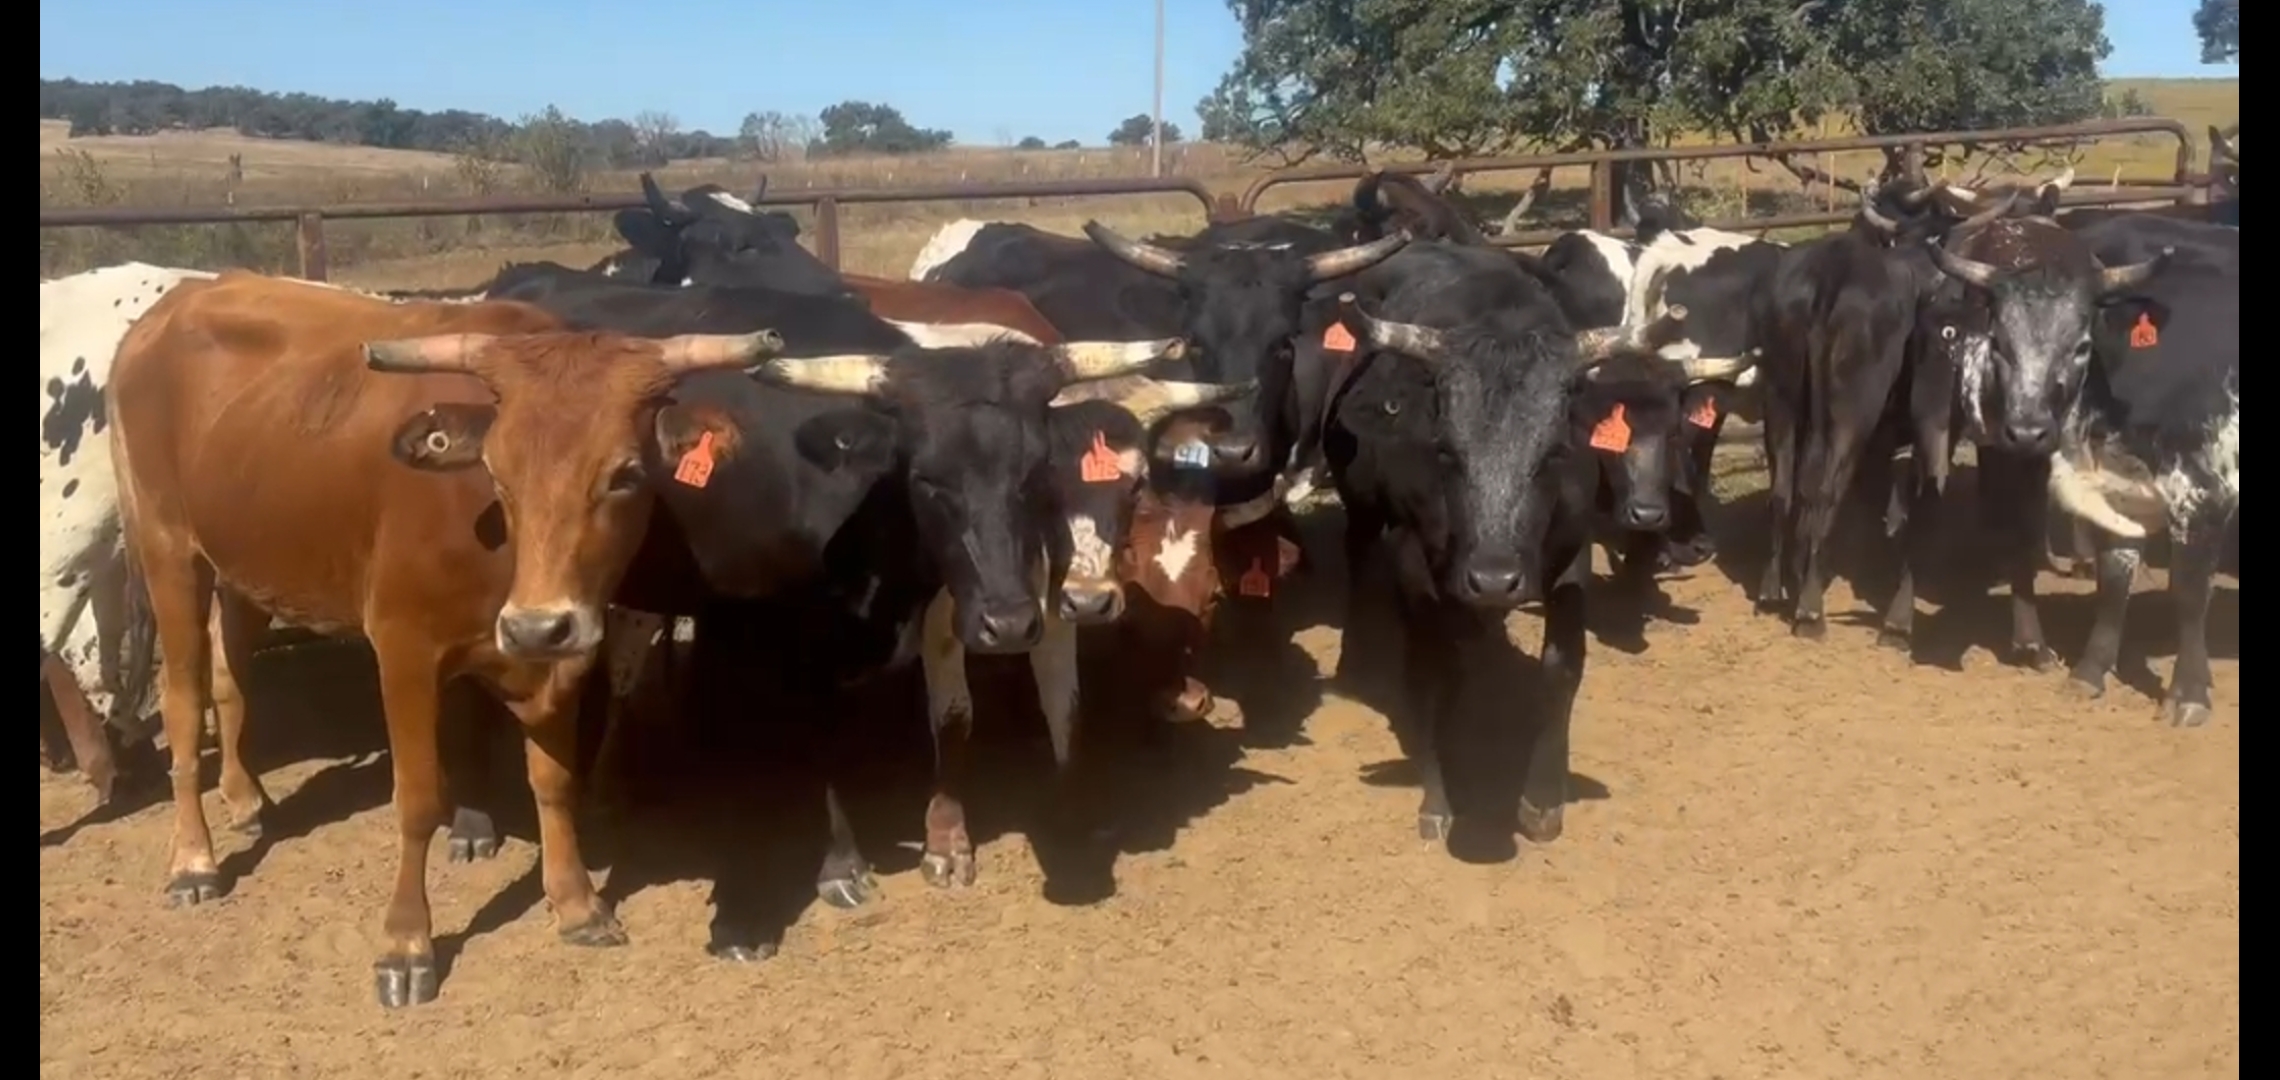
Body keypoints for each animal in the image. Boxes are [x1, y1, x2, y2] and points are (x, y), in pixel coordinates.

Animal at [106, 270, 785, 1007]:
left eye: (627, 475)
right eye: (496, 470)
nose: (535, 624)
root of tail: (181, 300)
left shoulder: (564, 656)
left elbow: (554, 779)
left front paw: (575, 903)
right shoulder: (404, 648)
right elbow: (418, 798)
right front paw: (405, 945)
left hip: (248, 561)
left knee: (232, 674)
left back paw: (244, 798)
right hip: (166, 550)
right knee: (182, 700)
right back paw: (193, 862)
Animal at [1313, 238, 1690, 846]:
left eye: (1555, 452)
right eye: (1444, 449)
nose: (1493, 580)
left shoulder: (1570, 556)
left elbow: (1561, 669)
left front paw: (1542, 800)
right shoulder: (1410, 556)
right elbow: (1428, 672)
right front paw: (1437, 800)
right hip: (1364, 509)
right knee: (1359, 555)